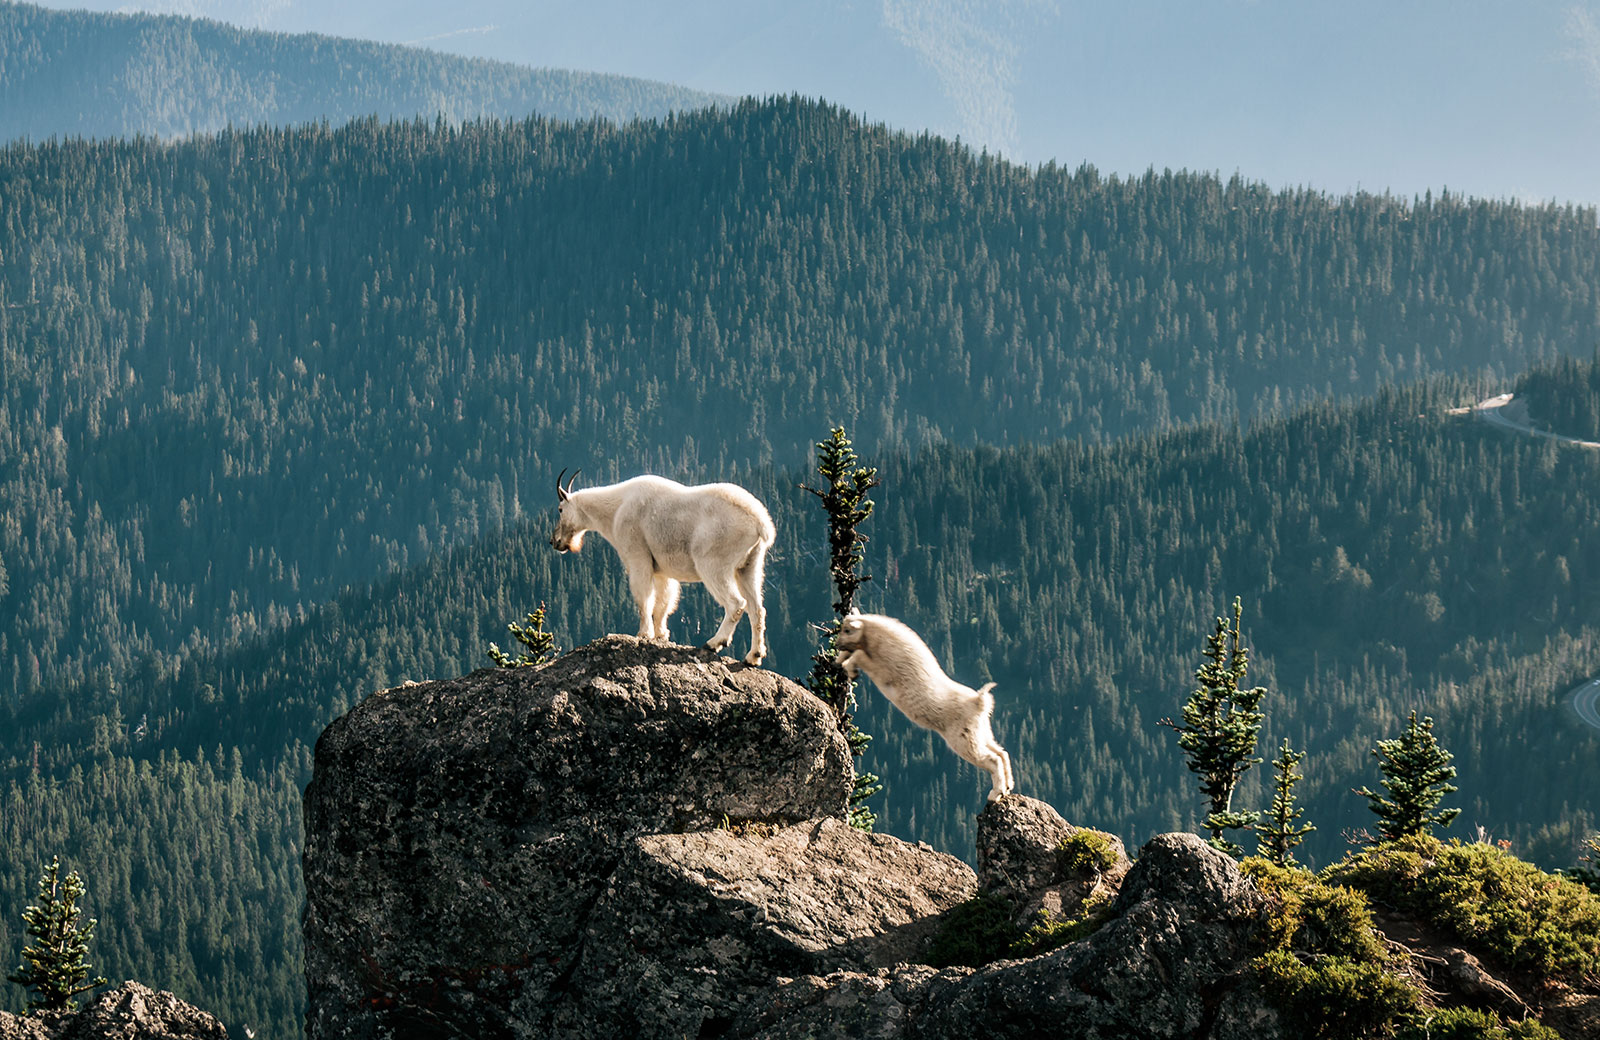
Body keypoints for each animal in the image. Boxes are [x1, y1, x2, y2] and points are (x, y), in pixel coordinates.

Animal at [547, 470, 777, 665]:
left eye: (560, 509)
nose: (554, 541)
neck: (614, 509)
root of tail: (760, 524)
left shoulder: (637, 556)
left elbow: (644, 599)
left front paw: (643, 634)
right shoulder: (662, 570)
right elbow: (663, 603)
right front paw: (661, 635)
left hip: (713, 562)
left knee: (736, 603)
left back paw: (714, 643)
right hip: (750, 565)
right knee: (757, 609)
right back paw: (754, 656)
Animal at [838, 611, 1011, 796]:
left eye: (847, 630)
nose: (838, 644)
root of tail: (979, 702)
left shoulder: (882, 672)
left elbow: (859, 655)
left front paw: (850, 669)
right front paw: (838, 662)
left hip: (963, 738)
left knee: (992, 759)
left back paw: (995, 794)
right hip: (982, 731)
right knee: (1001, 753)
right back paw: (1008, 786)